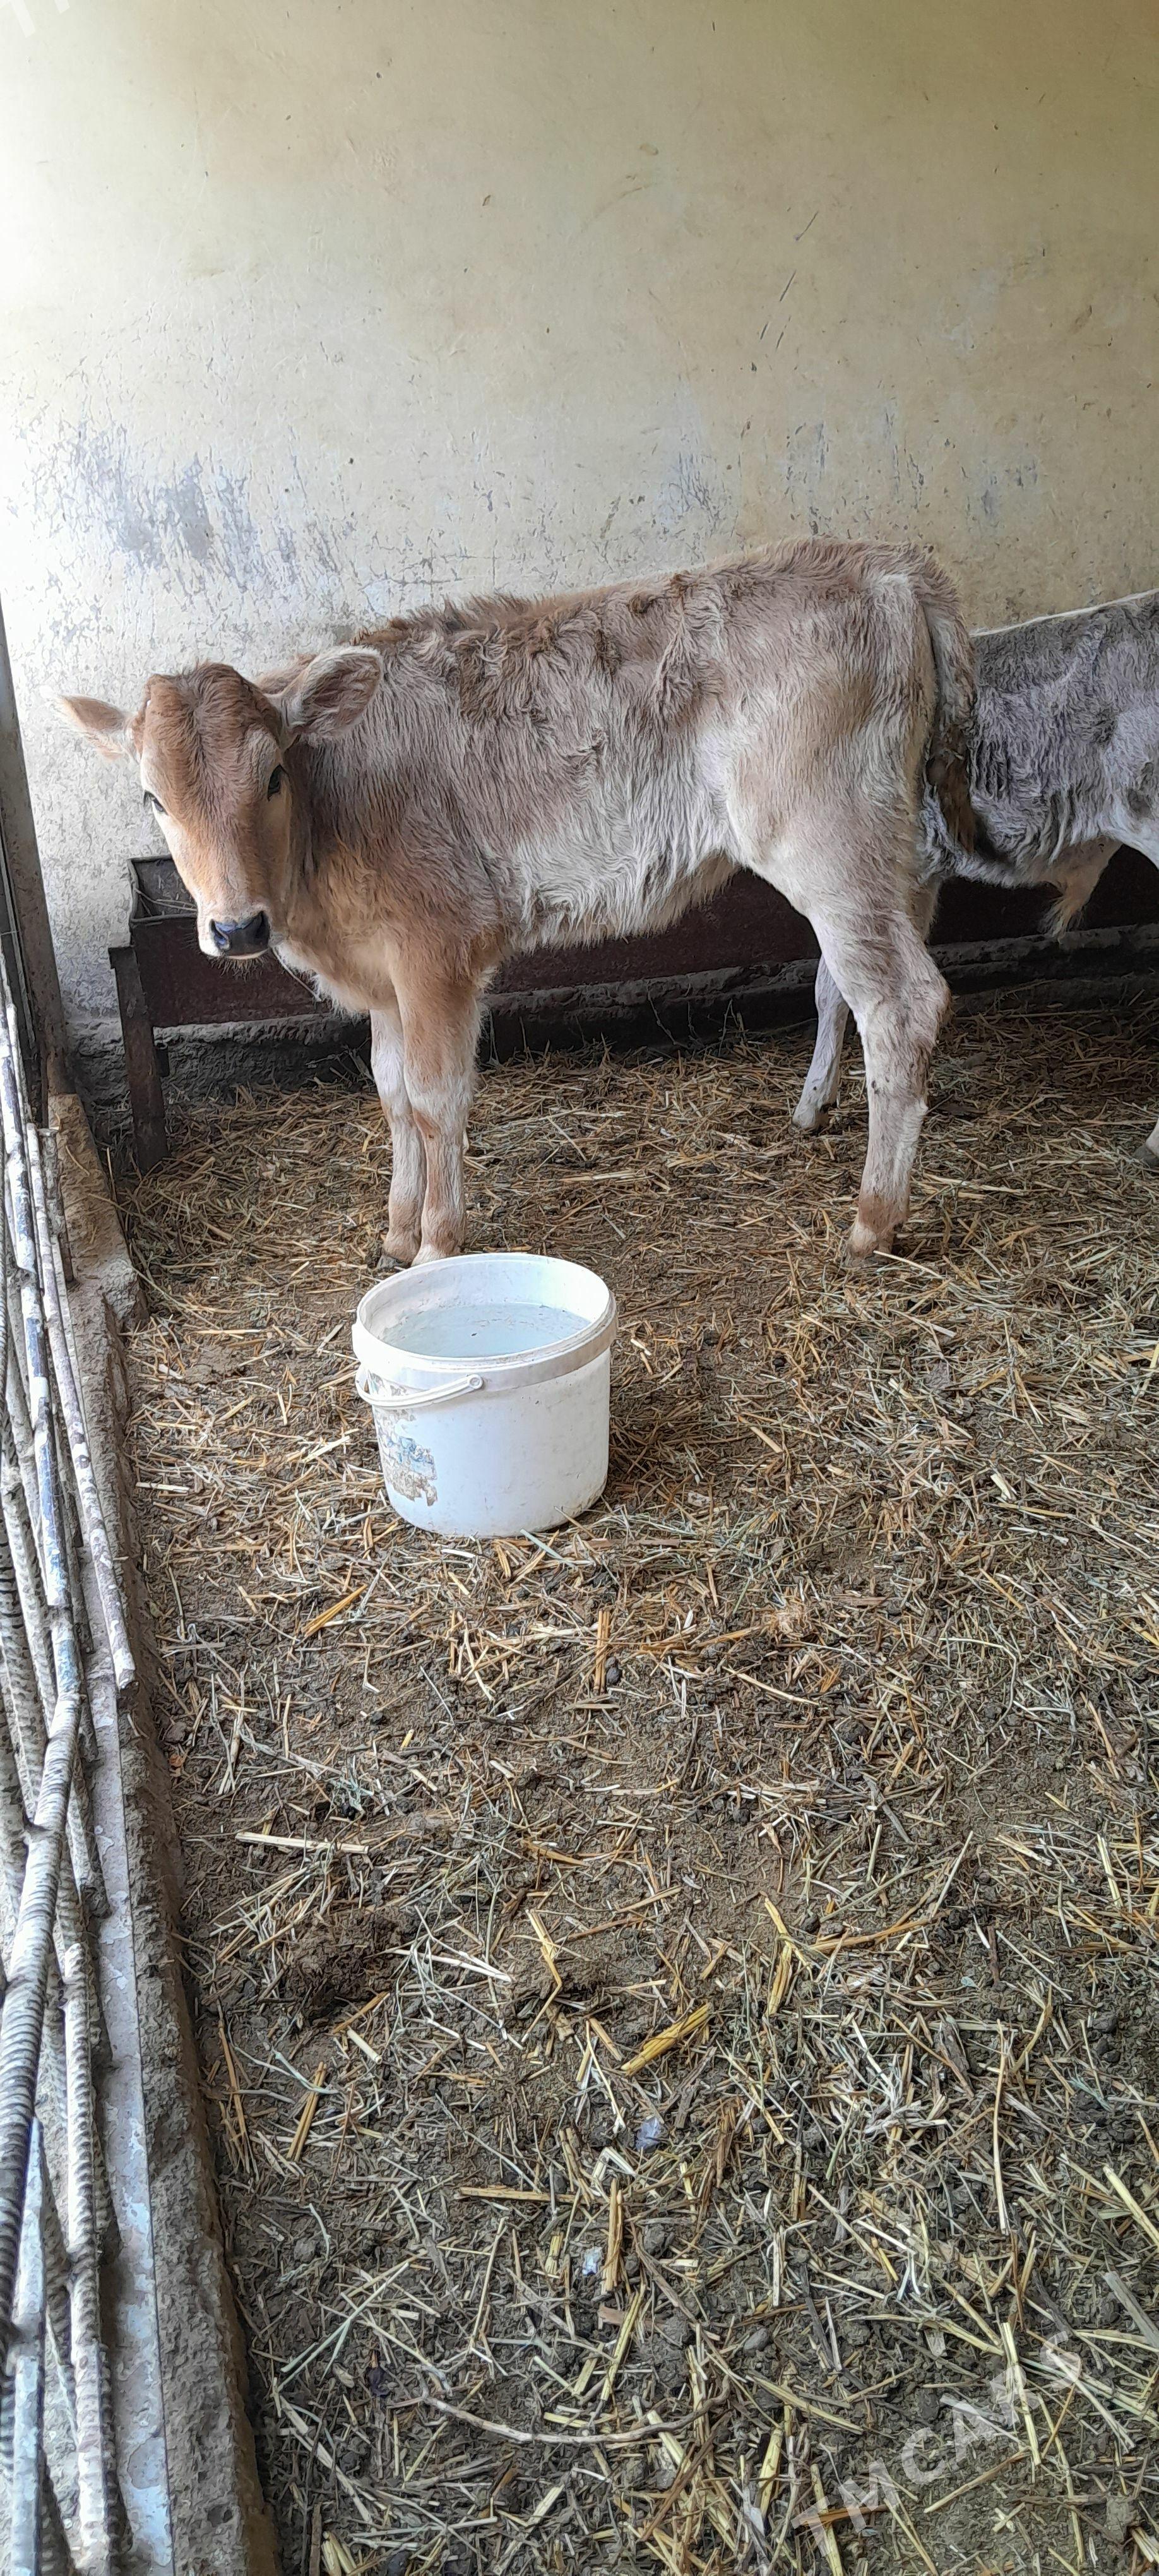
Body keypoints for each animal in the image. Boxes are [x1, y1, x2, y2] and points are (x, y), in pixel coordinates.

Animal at [57, 537, 975, 1262]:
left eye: (273, 776)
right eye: (152, 798)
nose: (237, 926)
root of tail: (889, 566)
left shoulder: (437, 946)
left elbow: (435, 1099)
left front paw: (437, 1243)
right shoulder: (380, 974)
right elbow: (390, 1095)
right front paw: (395, 1234)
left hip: (827, 841)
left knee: (900, 1004)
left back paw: (873, 1222)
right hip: (898, 852)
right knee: (861, 986)